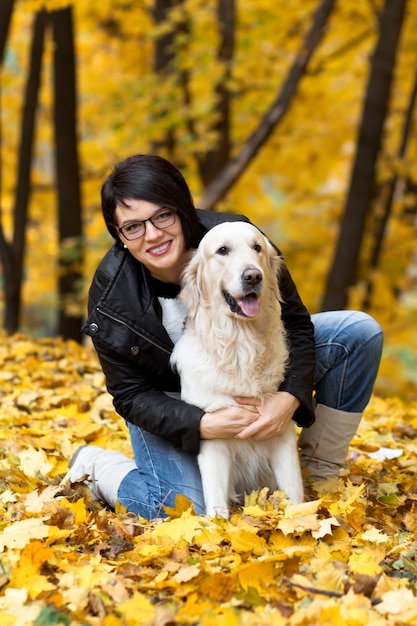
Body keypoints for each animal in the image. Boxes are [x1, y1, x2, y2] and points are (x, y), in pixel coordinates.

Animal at [169, 222, 302, 516]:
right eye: (222, 250)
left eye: (257, 247)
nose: (253, 276)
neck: (242, 344)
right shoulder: (213, 432)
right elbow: (217, 499)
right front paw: (216, 525)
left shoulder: (282, 428)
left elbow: (295, 493)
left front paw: (303, 517)